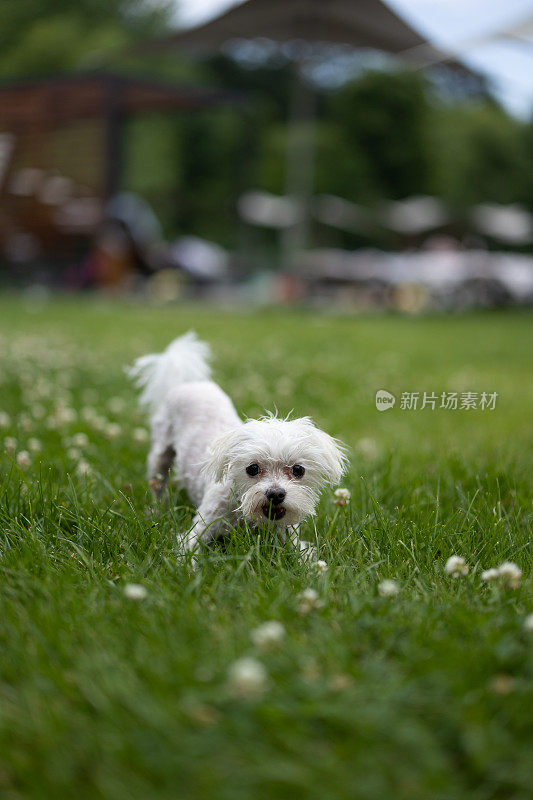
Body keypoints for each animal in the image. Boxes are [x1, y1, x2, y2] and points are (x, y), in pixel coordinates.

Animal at [127, 332, 348, 564]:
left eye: (298, 470)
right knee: (158, 483)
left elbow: (303, 557)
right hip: (160, 456)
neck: (245, 511)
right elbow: (188, 555)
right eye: (252, 468)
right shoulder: (199, 530)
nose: (276, 494)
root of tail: (188, 383)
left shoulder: (289, 537)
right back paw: (156, 510)